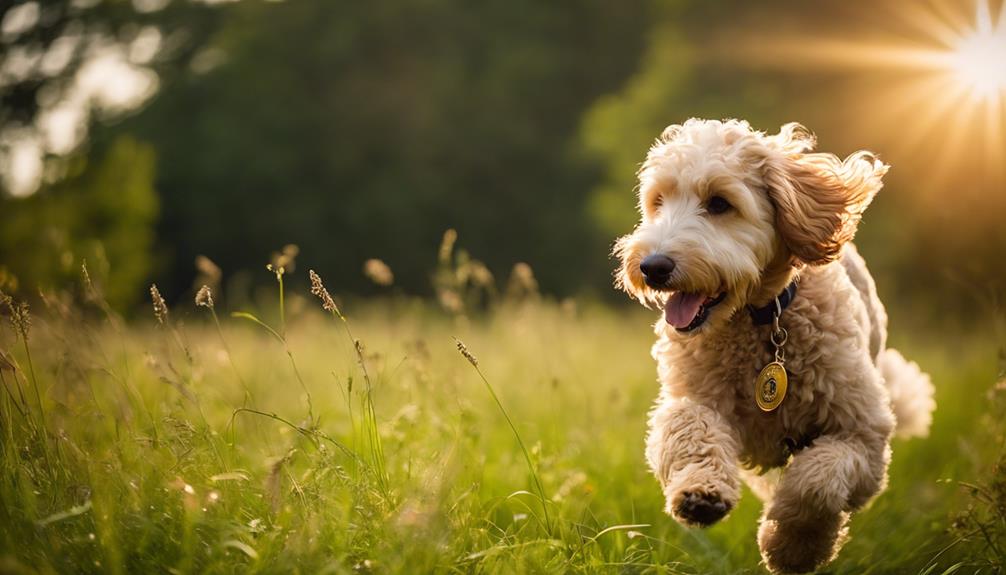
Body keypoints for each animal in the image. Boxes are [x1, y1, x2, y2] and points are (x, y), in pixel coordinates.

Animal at [611, 119, 933, 570]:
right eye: (658, 201)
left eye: (719, 203)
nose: (652, 266)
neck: (759, 321)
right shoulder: (692, 398)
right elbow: (688, 427)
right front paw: (700, 493)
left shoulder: (863, 435)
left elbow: (817, 482)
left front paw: (791, 545)